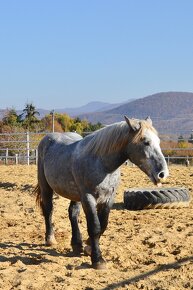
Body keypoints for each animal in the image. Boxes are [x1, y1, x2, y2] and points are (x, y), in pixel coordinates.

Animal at [34, 116, 169, 270]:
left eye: (158, 141)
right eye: (146, 142)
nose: (162, 174)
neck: (102, 164)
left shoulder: (108, 198)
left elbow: (103, 224)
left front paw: (88, 247)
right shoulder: (88, 198)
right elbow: (95, 227)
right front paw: (98, 260)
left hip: (75, 194)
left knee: (72, 213)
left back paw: (77, 244)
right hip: (46, 187)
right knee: (48, 210)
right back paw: (50, 239)